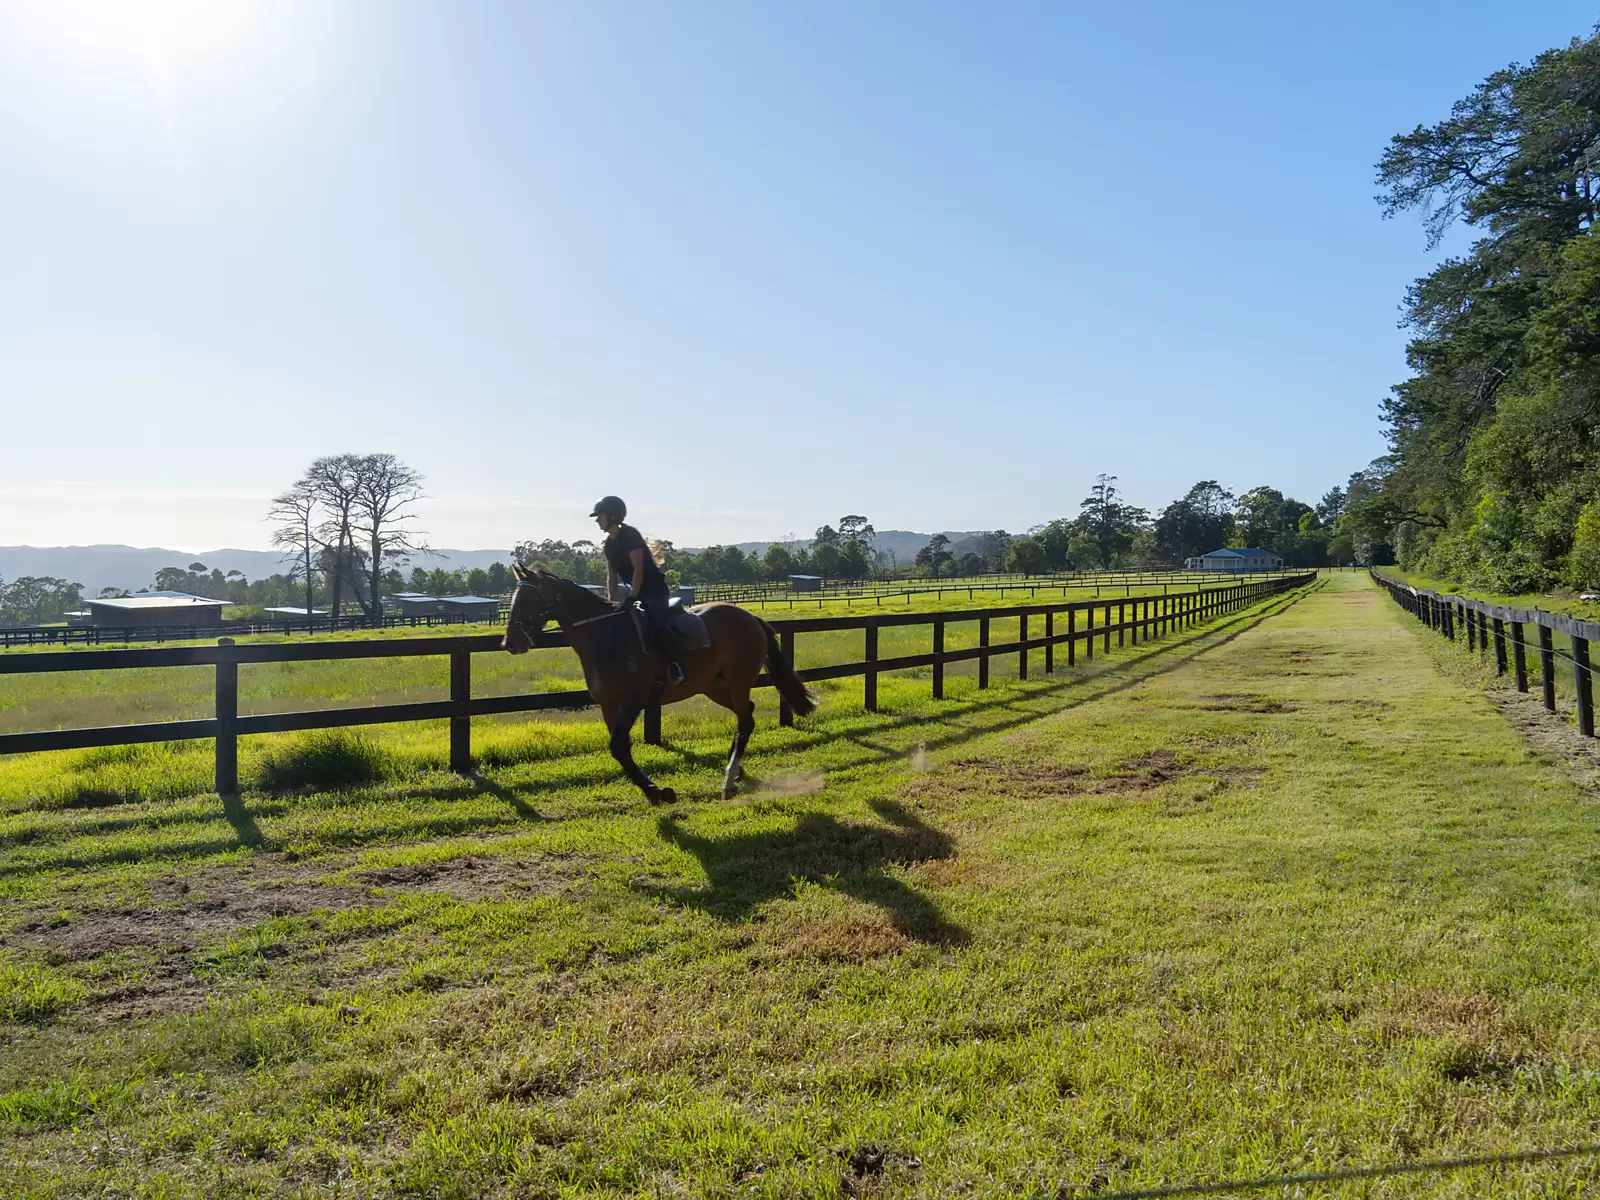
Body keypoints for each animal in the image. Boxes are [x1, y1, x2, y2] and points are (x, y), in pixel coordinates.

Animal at [505, 569, 819, 809]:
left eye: (529, 598)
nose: (509, 643)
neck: (605, 637)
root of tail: (750, 617)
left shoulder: (632, 701)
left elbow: (618, 747)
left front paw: (658, 791)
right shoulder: (609, 706)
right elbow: (621, 752)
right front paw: (655, 792)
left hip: (739, 679)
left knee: (745, 720)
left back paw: (729, 779)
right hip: (714, 686)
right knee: (747, 717)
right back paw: (735, 768)